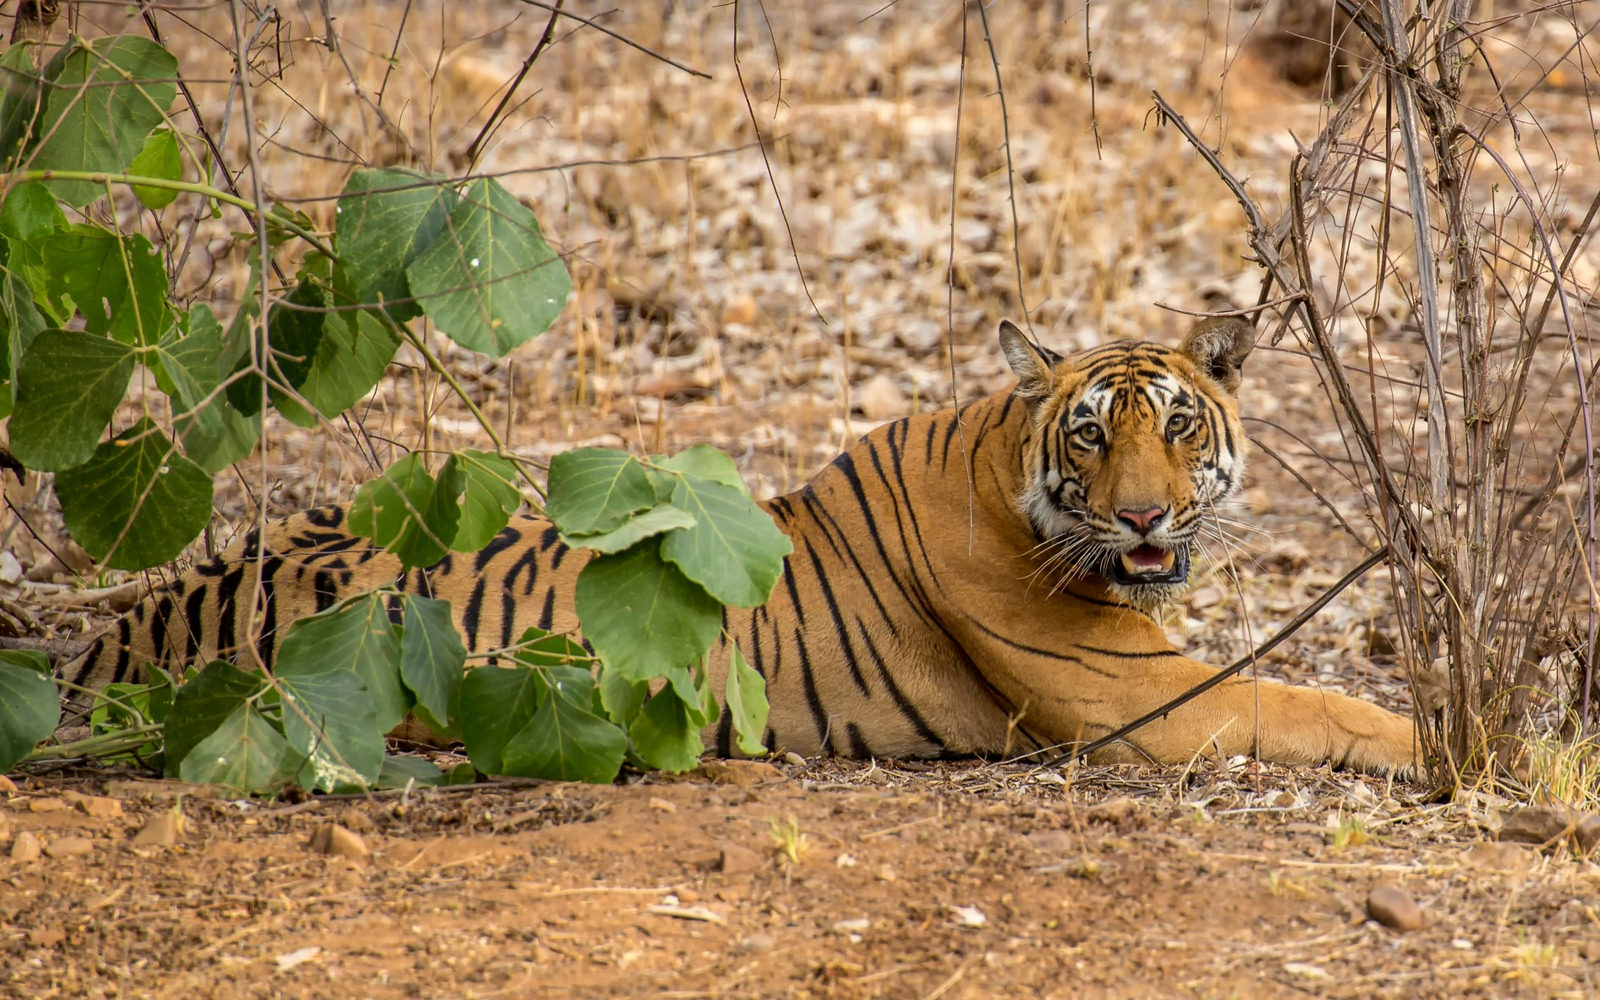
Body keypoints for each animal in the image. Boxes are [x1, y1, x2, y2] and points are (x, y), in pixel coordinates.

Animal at [59, 318, 1427, 771]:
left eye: (1178, 425)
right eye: (1090, 435)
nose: (1143, 515)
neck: (1006, 465)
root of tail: (112, 639)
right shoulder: (1140, 697)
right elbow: (1317, 704)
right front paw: (1451, 742)